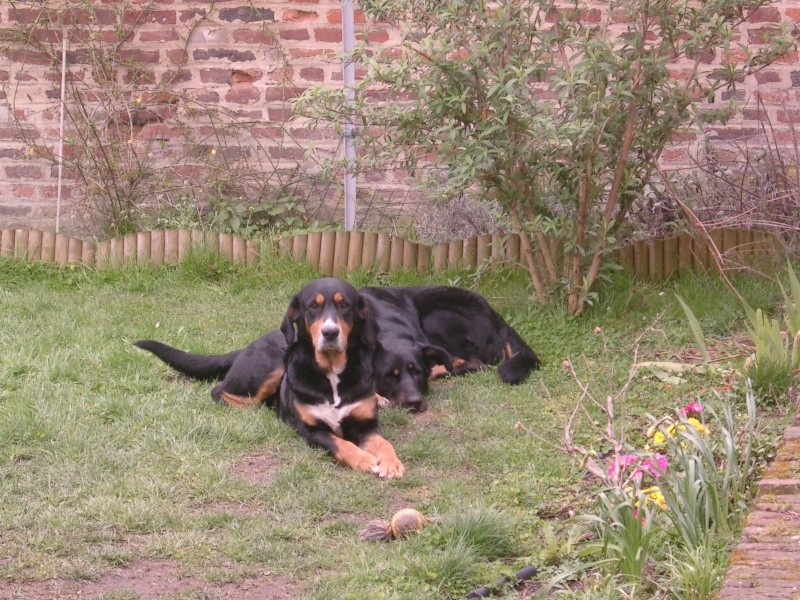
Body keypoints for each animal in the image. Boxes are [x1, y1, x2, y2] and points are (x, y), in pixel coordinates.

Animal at [276, 278, 404, 478]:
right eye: (313, 305)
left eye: (344, 305)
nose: (330, 332)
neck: (332, 373)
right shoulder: (312, 430)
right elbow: (340, 444)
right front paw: (364, 459)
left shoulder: (366, 425)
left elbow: (384, 443)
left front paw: (392, 463)